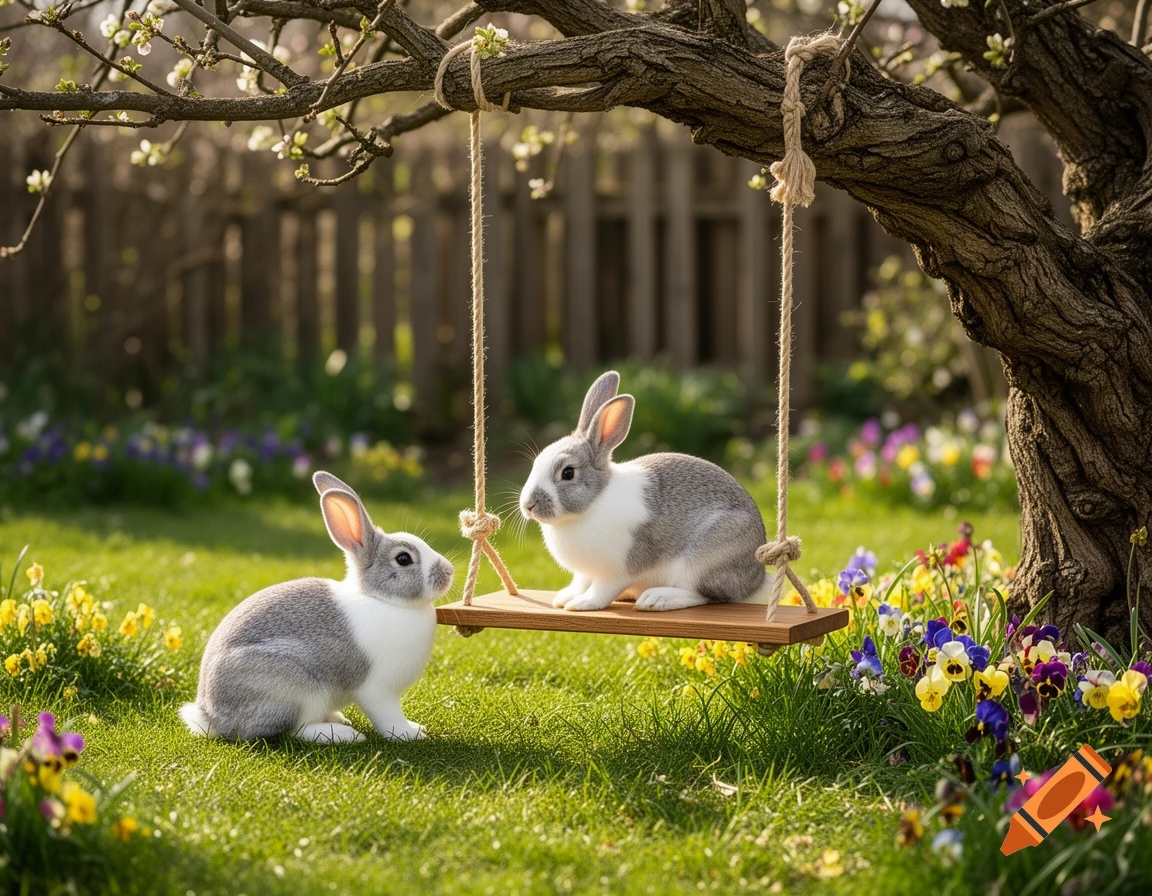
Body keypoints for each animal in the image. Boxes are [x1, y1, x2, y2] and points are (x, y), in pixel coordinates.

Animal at [179, 471, 454, 743]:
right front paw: (411, 733)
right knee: (293, 731)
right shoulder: (378, 691)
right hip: (296, 691)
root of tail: (211, 717)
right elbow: (388, 718)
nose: (449, 571)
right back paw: (344, 734)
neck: (381, 599)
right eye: (403, 559)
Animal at [519, 370, 769, 613]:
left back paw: (657, 599)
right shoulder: (585, 573)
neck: (594, 503)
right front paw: (564, 598)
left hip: (704, 560)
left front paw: (582, 604)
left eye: (568, 473)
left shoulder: (617, 570)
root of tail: (757, 581)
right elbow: (580, 583)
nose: (528, 505)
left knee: (706, 595)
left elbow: (601, 590)